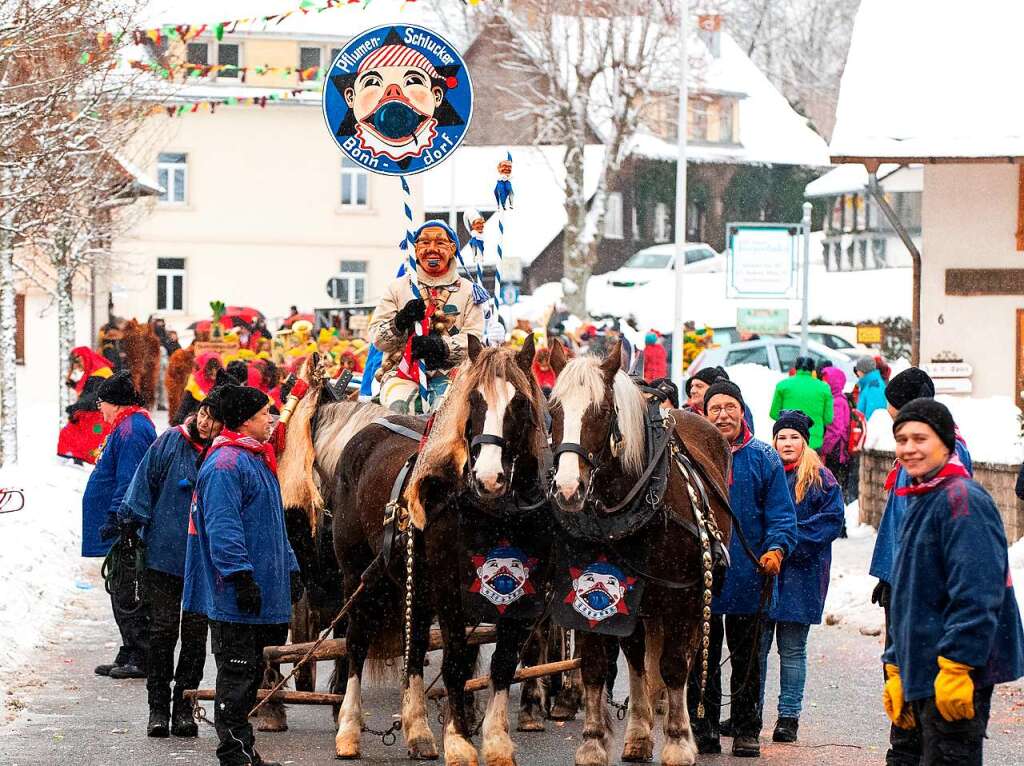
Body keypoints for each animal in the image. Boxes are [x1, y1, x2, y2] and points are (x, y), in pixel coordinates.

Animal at [548, 342, 733, 766]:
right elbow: (596, 665)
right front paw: (593, 743)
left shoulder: (683, 596)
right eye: (554, 410)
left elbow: (674, 666)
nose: (568, 489)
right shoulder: (587, 595)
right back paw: (638, 732)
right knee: (635, 658)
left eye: (601, 412)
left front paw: (679, 742)